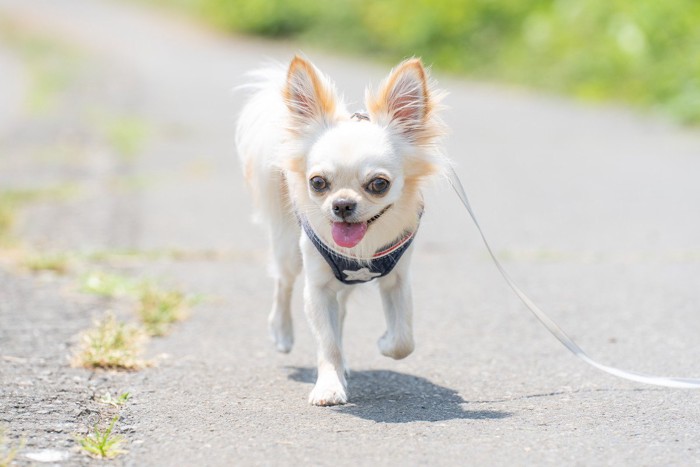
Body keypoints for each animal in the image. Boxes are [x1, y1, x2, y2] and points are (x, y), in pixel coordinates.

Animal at [238, 55, 448, 406]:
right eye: (318, 183)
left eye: (379, 184)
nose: (342, 205)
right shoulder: (318, 287)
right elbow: (327, 343)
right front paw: (329, 386)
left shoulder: (397, 280)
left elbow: (404, 339)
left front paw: (384, 342)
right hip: (289, 250)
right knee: (283, 283)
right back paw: (282, 332)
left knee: (343, 311)